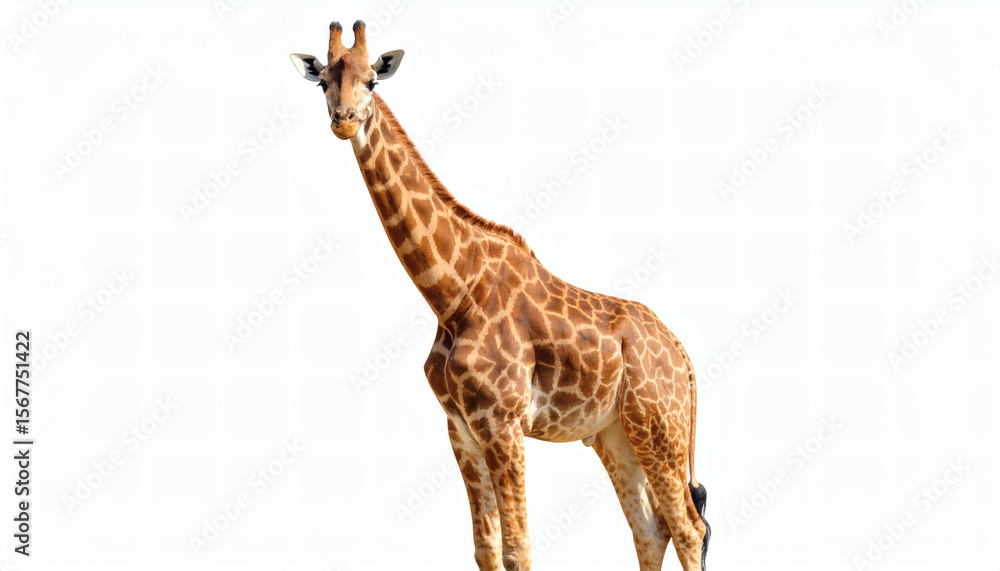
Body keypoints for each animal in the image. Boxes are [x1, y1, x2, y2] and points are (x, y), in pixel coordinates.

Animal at [291, 20, 711, 571]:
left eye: (372, 81)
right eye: (323, 82)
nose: (344, 121)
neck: (452, 295)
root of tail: (683, 357)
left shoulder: (502, 421)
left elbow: (518, 546)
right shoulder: (461, 429)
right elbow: (486, 547)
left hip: (659, 425)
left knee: (687, 526)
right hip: (615, 434)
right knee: (649, 528)